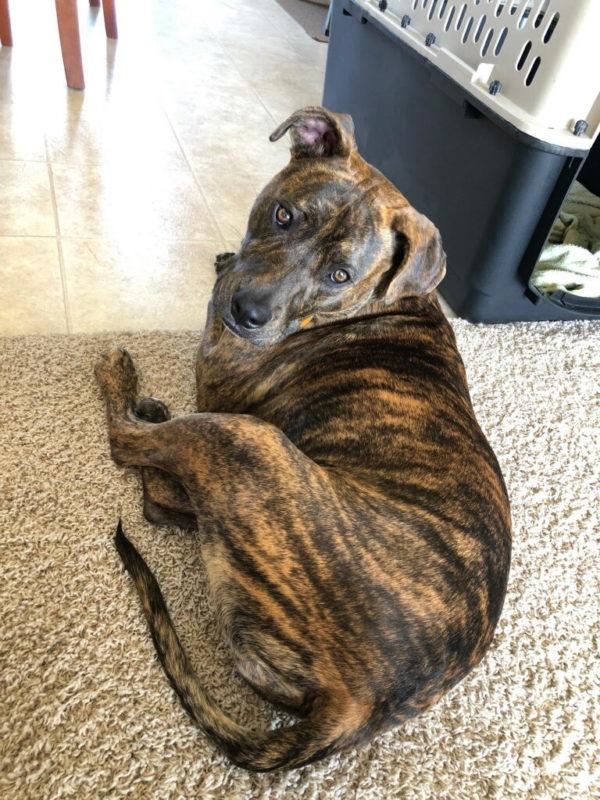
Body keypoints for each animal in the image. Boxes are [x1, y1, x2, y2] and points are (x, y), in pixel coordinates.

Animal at [96, 108, 508, 776]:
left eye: (340, 274)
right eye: (285, 216)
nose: (247, 312)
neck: (365, 305)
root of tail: (357, 706)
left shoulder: (220, 392)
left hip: (245, 441)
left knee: (142, 466)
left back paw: (126, 385)